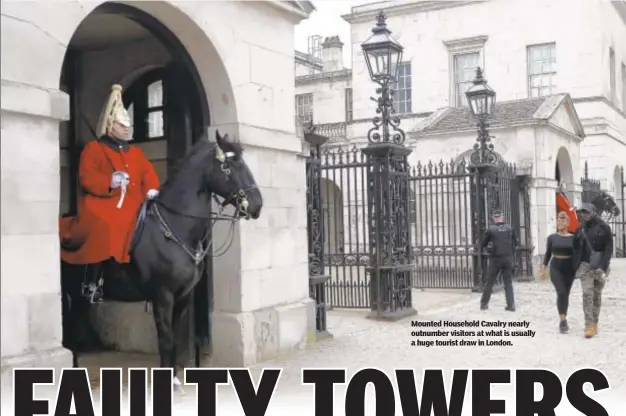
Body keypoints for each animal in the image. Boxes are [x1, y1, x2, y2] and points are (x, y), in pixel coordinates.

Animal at [60, 130, 260, 386]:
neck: (175, 228)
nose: (257, 205)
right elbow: (166, 341)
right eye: (229, 166)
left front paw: (175, 378)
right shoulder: (162, 296)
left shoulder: (183, 298)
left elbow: (175, 338)